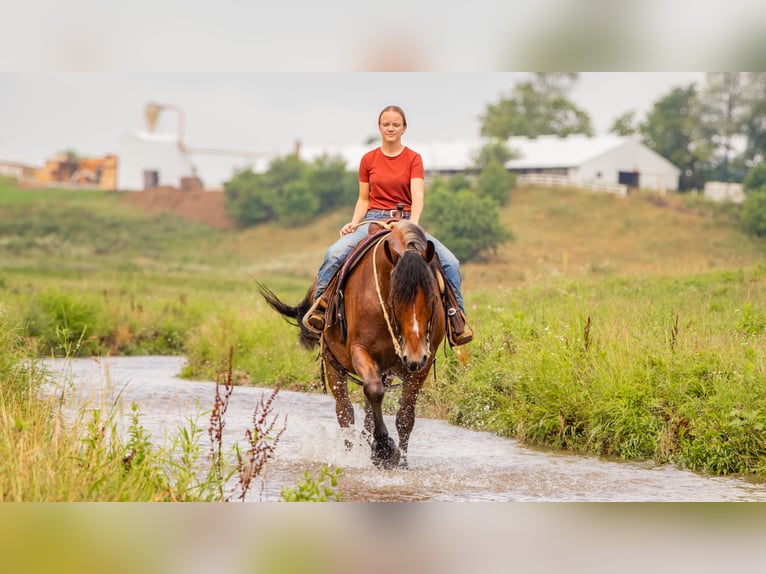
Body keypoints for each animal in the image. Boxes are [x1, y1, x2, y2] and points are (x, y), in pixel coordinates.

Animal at [260, 223, 448, 470]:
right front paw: (383, 449)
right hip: (333, 365)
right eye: (395, 300)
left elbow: (405, 416)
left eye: (433, 299)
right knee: (345, 412)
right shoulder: (360, 351)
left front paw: (401, 462)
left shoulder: (423, 363)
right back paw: (350, 453)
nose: (414, 357)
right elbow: (373, 392)